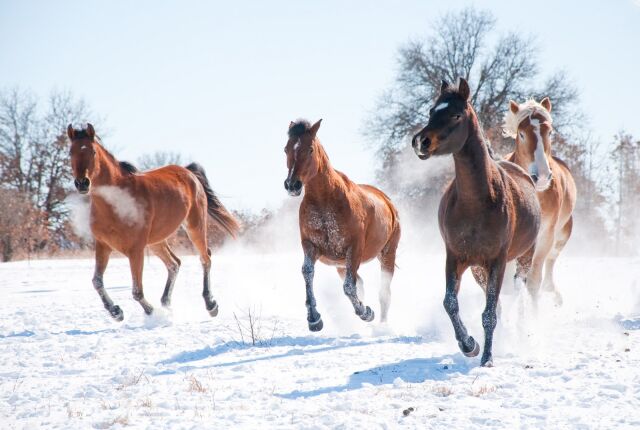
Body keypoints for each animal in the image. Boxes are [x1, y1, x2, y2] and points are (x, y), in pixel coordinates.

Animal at [67, 123, 240, 320]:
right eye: (71, 152)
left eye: (93, 151)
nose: (82, 183)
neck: (116, 203)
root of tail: (189, 172)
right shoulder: (103, 246)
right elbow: (97, 282)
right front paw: (116, 312)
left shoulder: (136, 250)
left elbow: (137, 291)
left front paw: (150, 311)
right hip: (156, 241)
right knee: (174, 264)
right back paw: (166, 304)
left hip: (194, 226)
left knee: (205, 258)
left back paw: (211, 305)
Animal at [284, 119, 400, 330]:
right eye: (286, 149)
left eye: (310, 149)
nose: (292, 185)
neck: (324, 201)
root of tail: (387, 201)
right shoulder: (310, 246)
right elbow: (308, 273)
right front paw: (314, 319)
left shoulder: (353, 249)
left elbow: (348, 287)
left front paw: (366, 312)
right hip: (340, 264)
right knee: (359, 284)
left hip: (387, 253)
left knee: (384, 292)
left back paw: (381, 325)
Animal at [410, 78, 540, 366]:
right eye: (432, 111)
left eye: (456, 115)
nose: (420, 141)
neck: (476, 203)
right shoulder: (455, 257)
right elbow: (450, 303)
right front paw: (470, 345)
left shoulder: (498, 261)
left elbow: (489, 313)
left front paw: (487, 358)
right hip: (478, 269)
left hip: (523, 258)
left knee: (518, 294)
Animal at [502, 98, 576, 304]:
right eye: (521, 134)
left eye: (549, 132)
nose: (541, 177)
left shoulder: (545, 235)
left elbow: (534, 280)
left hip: (562, 234)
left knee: (551, 260)